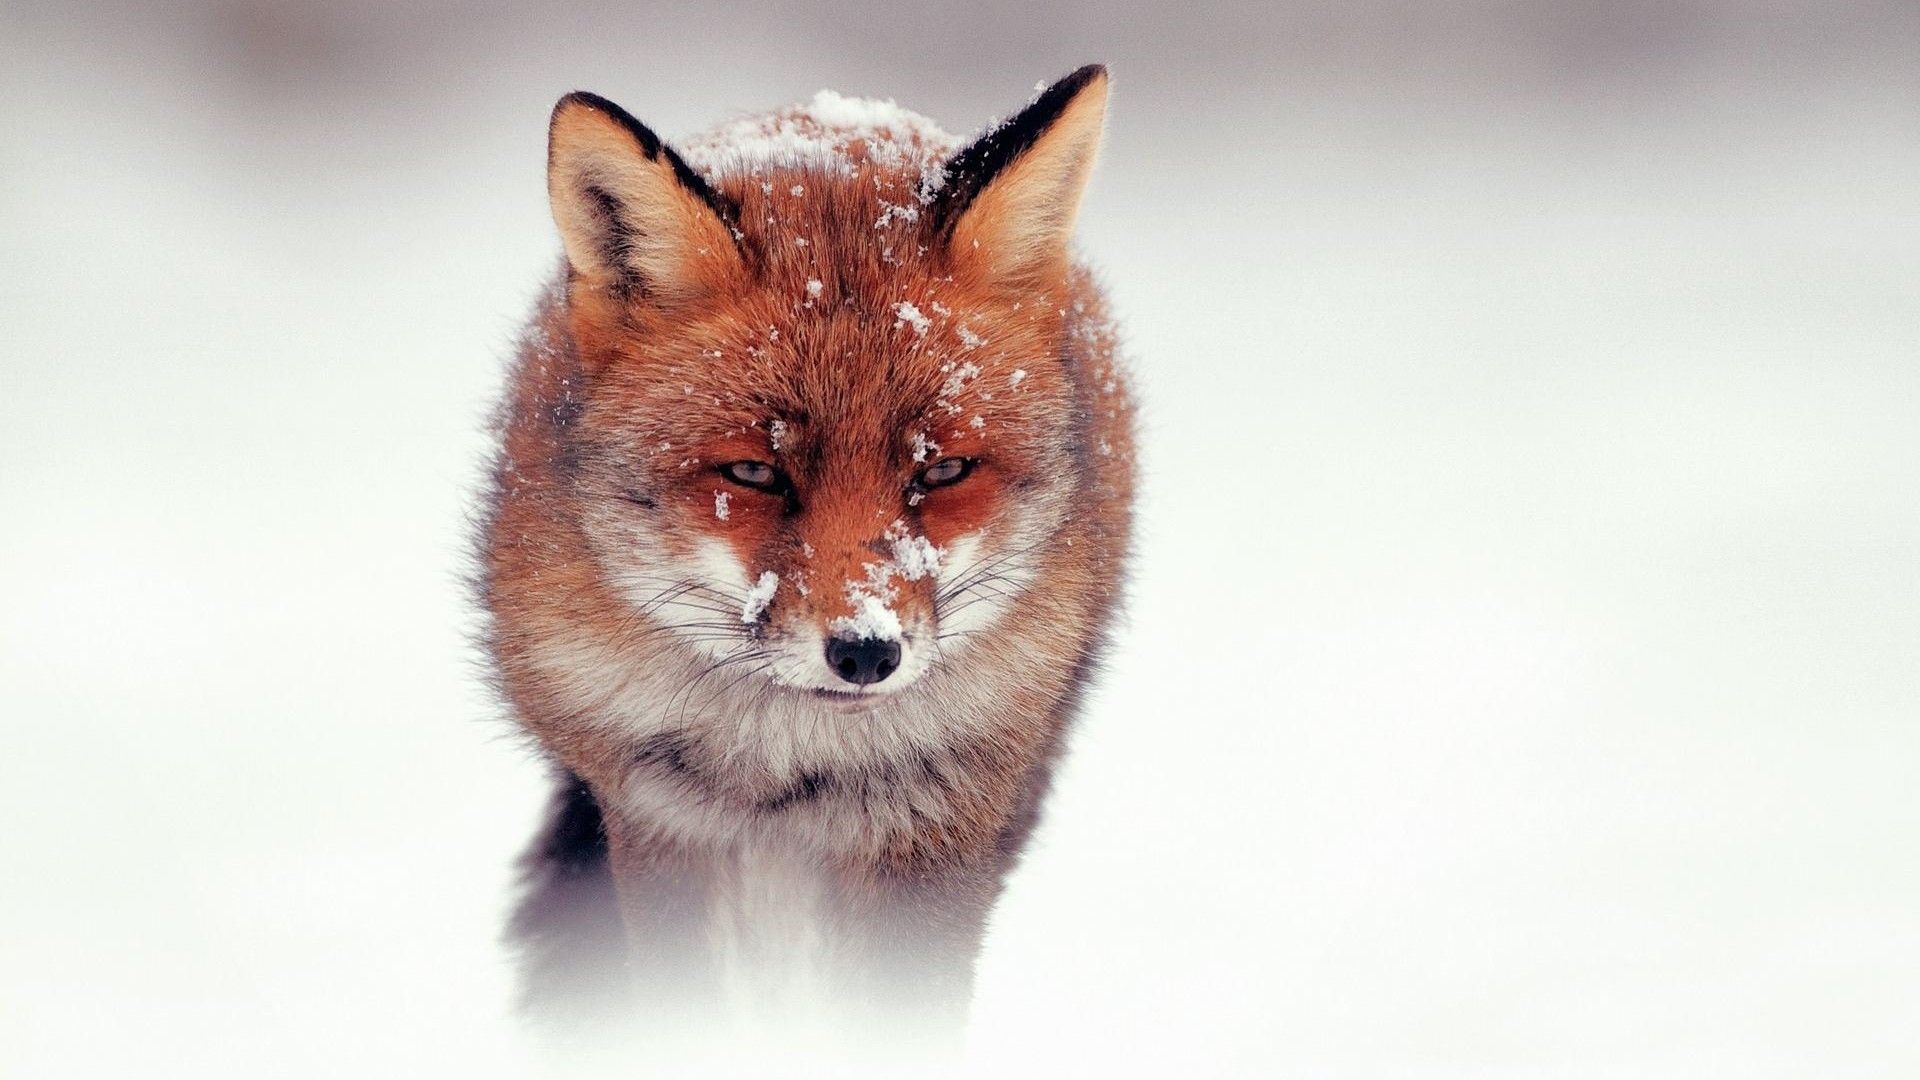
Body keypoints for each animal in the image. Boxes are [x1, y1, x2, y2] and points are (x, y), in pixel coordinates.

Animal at [477, 64, 1135, 1039]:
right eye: (754, 471)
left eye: (942, 470)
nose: (865, 652)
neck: (788, 761)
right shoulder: (660, 816)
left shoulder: (935, 826)